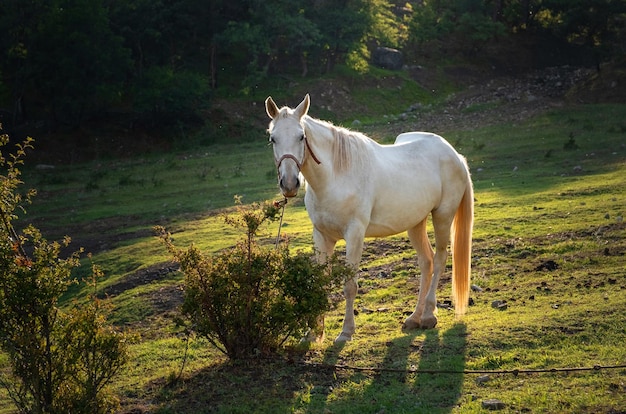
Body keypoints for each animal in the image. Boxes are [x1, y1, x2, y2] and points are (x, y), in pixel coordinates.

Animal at [264, 94, 472, 342]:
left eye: (301, 136)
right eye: (273, 139)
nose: (289, 184)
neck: (336, 177)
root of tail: (455, 155)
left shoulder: (354, 234)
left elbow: (350, 285)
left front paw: (346, 332)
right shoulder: (321, 236)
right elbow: (320, 282)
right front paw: (312, 334)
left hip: (442, 216)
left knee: (440, 258)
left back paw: (429, 315)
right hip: (415, 223)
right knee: (426, 261)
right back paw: (414, 318)